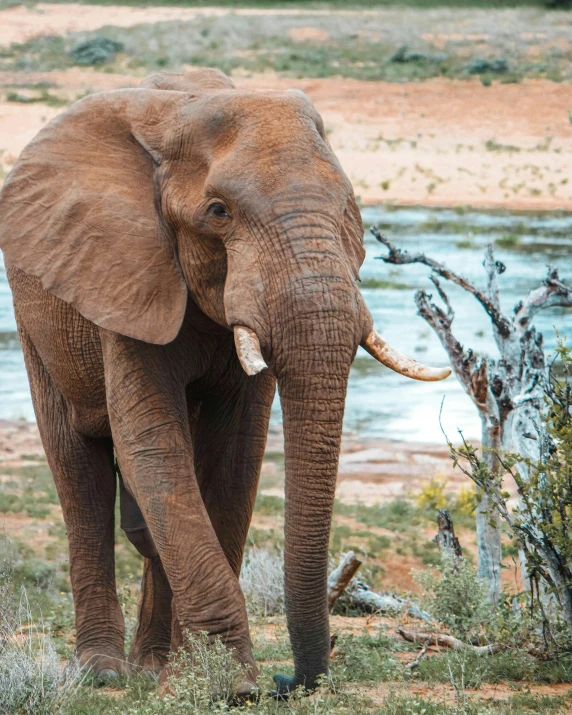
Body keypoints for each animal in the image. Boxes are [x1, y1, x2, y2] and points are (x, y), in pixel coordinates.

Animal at [0, 70, 450, 696]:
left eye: (349, 208)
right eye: (219, 211)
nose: (293, 680)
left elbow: (237, 454)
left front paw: (199, 676)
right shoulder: (127, 271)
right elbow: (153, 447)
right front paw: (231, 686)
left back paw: (151, 667)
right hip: (36, 311)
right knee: (79, 471)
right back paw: (105, 673)